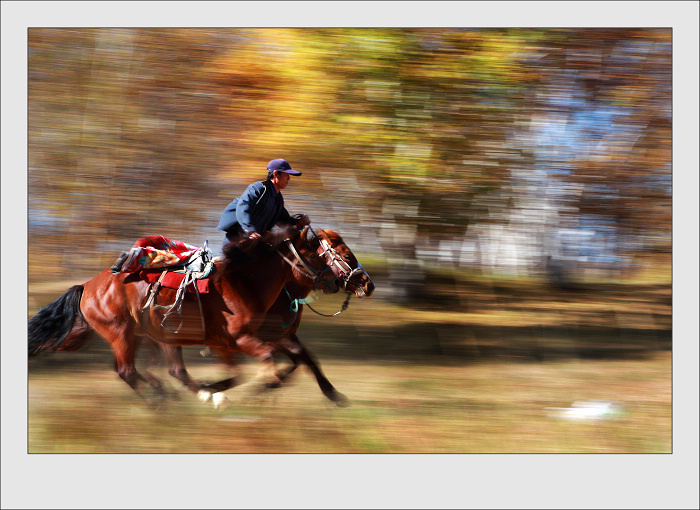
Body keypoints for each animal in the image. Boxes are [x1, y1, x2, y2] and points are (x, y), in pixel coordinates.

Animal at [28, 225, 342, 404]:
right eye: (316, 256)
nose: (337, 281)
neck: (244, 283)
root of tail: (88, 286)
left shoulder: (229, 343)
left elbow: (251, 369)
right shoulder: (238, 339)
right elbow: (266, 361)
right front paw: (261, 388)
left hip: (152, 334)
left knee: (168, 370)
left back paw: (182, 394)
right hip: (122, 333)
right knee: (128, 371)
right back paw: (162, 402)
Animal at [161, 229, 374, 408]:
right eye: (347, 256)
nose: (369, 285)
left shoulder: (284, 336)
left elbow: (305, 360)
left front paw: (332, 394)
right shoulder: (265, 338)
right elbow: (295, 360)